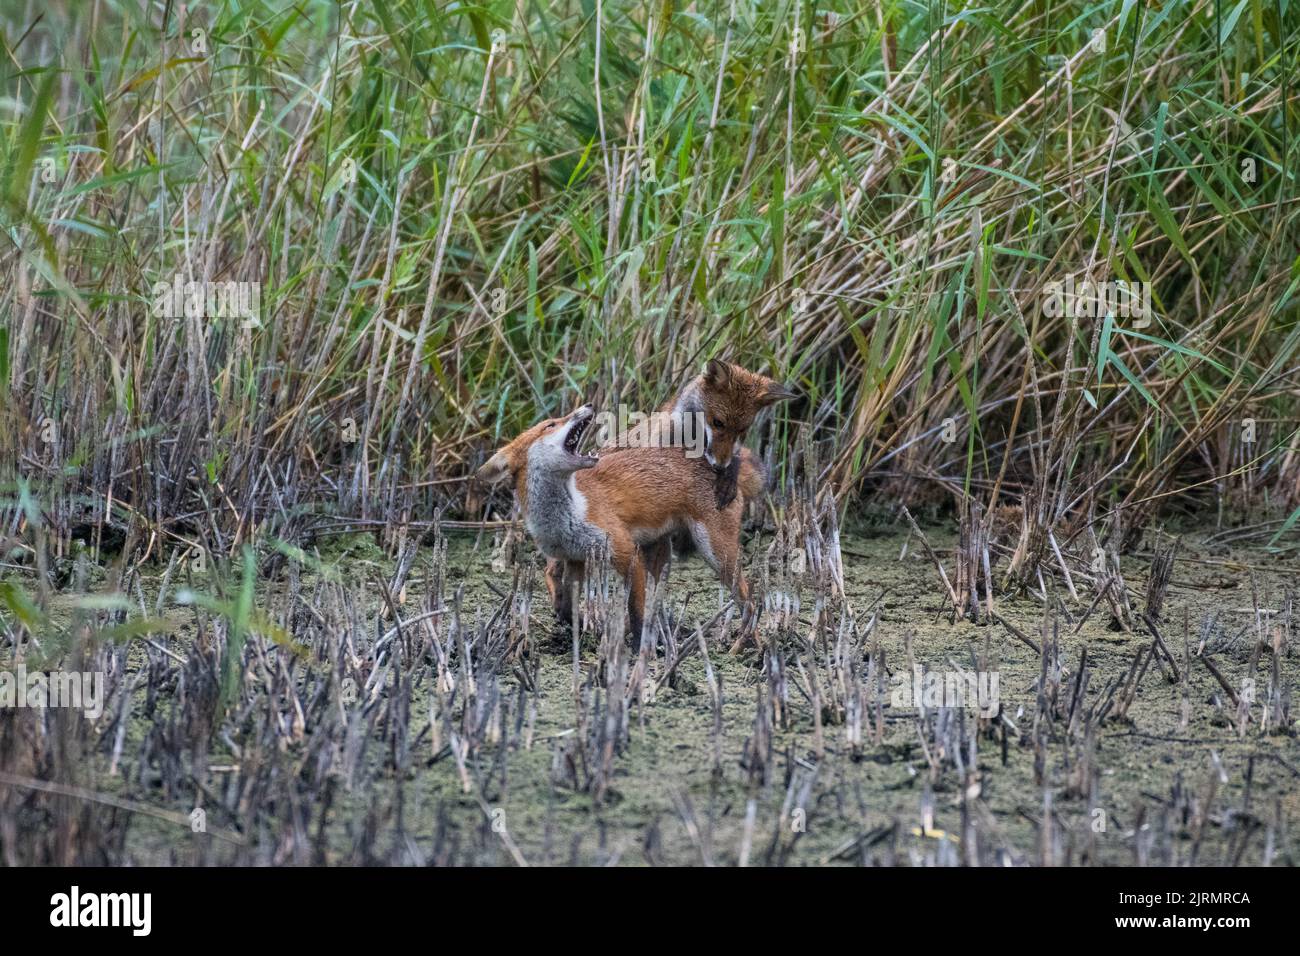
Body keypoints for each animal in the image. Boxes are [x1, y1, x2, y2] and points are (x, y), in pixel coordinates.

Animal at [478, 405, 754, 650]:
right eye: (550, 425)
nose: (588, 405)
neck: (568, 514)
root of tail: (723, 467)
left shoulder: (626, 552)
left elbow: (636, 612)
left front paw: (639, 650)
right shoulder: (576, 558)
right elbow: (566, 607)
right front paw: (578, 625)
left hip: (716, 554)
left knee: (749, 600)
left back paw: (744, 644)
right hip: (660, 550)